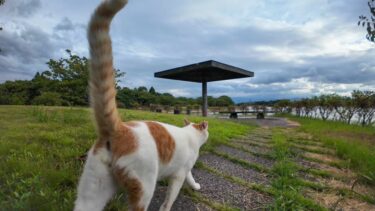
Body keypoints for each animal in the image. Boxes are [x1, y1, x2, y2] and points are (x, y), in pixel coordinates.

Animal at [73, 0, 209, 211]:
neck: (191, 134)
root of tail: (119, 129)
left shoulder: (184, 170)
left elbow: (191, 178)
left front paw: (195, 186)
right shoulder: (178, 175)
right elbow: (171, 197)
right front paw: (169, 205)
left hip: (93, 190)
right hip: (144, 186)